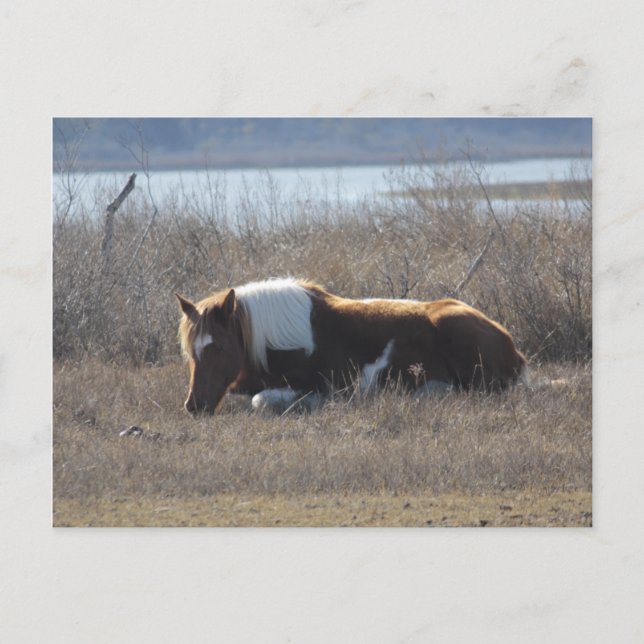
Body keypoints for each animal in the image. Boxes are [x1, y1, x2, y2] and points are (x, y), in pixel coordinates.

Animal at [176, 277, 527, 415]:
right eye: (191, 352)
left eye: (218, 347)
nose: (194, 405)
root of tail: (511, 346)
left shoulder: (319, 385)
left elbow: (260, 400)